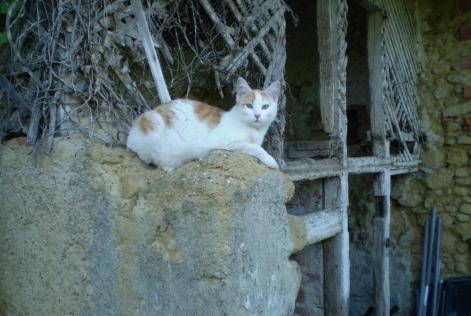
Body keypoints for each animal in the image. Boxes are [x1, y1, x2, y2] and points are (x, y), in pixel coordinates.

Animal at [126, 77, 280, 172]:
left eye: (265, 107)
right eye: (249, 106)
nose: (257, 115)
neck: (254, 130)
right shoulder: (224, 141)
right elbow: (254, 147)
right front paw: (271, 160)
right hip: (154, 125)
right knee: (149, 155)